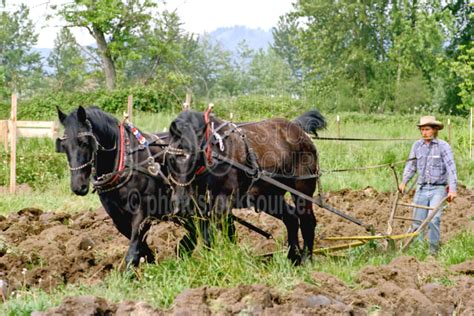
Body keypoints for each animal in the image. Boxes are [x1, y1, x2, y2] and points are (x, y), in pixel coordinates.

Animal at [55, 106, 178, 266]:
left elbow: (133, 251)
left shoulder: (143, 212)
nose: (78, 186)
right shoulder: (117, 218)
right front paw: (151, 262)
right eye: (64, 146)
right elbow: (141, 248)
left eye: (84, 142)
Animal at [166, 110, 326, 262]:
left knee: (307, 221)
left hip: (302, 189)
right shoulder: (199, 202)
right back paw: (293, 257)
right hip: (268, 196)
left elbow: (214, 230)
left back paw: (306, 258)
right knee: (291, 219)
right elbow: (202, 229)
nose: (179, 204)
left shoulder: (224, 197)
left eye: (193, 157)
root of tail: (298, 128)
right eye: (170, 159)